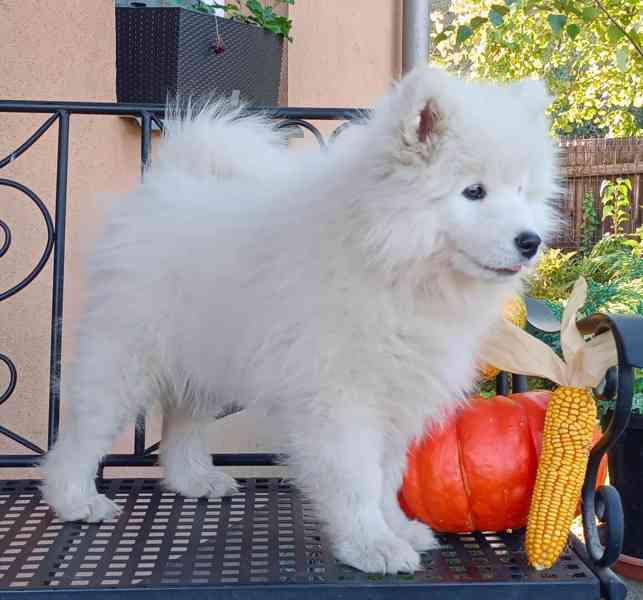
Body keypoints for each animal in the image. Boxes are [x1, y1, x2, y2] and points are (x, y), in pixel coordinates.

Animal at [42, 65, 560, 572]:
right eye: (474, 192)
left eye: (521, 191)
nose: (530, 241)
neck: (392, 263)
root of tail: (166, 180)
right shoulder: (340, 395)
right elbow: (356, 477)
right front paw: (371, 544)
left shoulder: (397, 390)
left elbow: (387, 474)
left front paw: (397, 527)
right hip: (126, 351)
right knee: (86, 427)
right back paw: (74, 498)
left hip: (207, 354)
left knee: (183, 419)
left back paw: (193, 479)